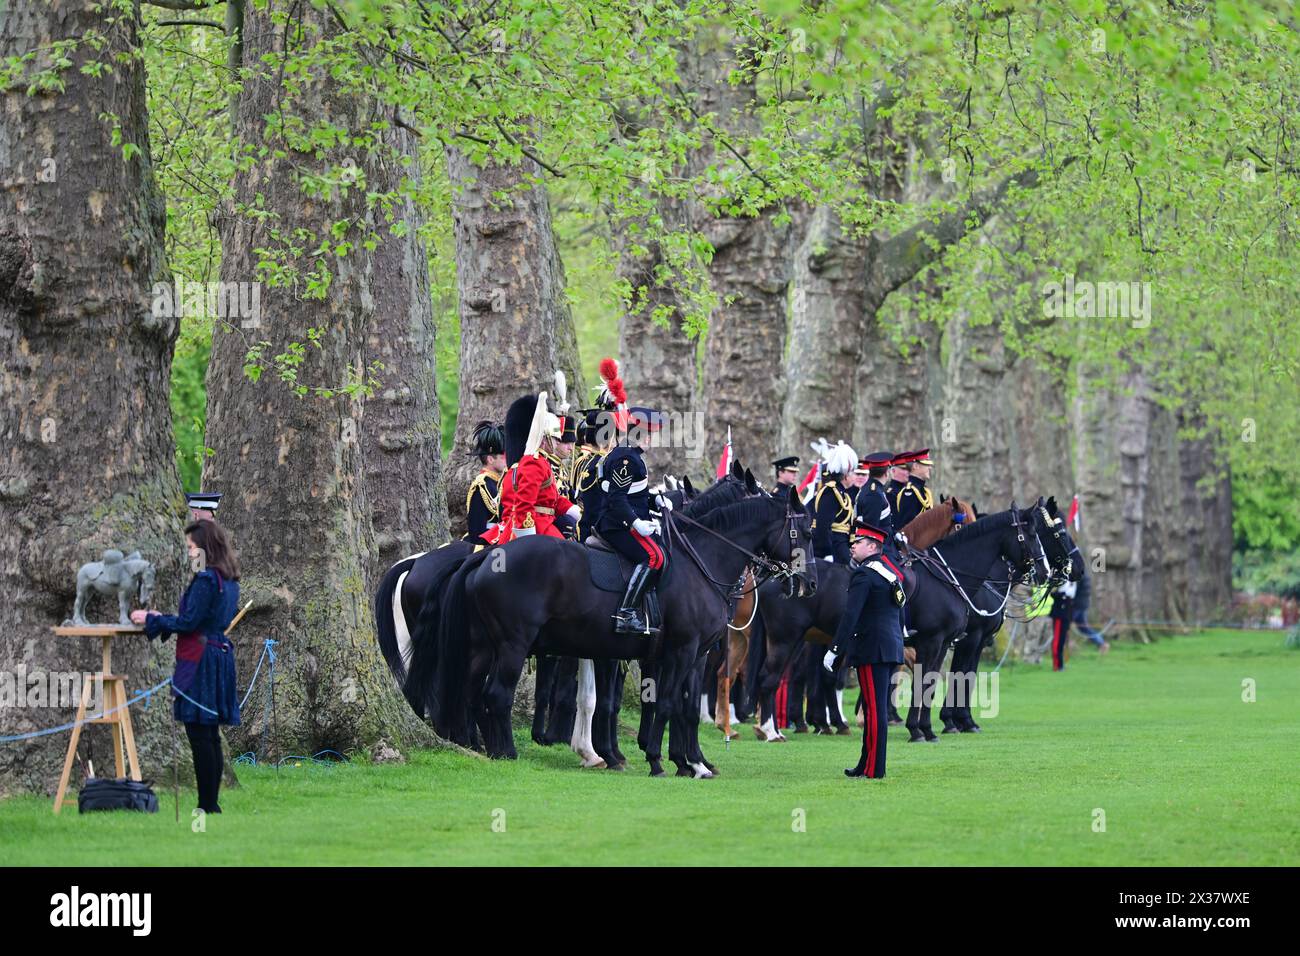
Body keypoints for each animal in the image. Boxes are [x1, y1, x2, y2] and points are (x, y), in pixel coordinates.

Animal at [431, 489, 811, 775]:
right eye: (805, 533)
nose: (808, 584)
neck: (701, 564)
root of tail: (490, 555)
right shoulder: (681, 651)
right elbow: (667, 703)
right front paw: (662, 760)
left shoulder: (695, 655)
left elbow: (685, 708)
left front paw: (694, 763)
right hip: (513, 645)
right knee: (497, 694)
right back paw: (507, 752)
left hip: (484, 646)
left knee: (471, 692)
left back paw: (479, 747)